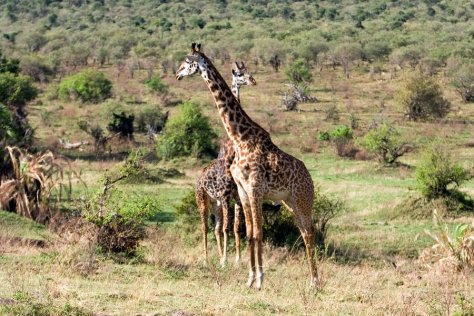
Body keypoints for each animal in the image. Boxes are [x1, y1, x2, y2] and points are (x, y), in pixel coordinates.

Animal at [195, 63, 258, 266]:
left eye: (248, 71)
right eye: (239, 74)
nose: (253, 80)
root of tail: (198, 180)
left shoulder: (234, 197)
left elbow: (236, 227)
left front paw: (237, 259)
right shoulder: (225, 197)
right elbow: (226, 228)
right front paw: (225, 260)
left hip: (214, 203)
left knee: (215, 227)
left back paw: (218, 256)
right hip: (202, 200)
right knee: (204, 227)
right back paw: (207, 259)